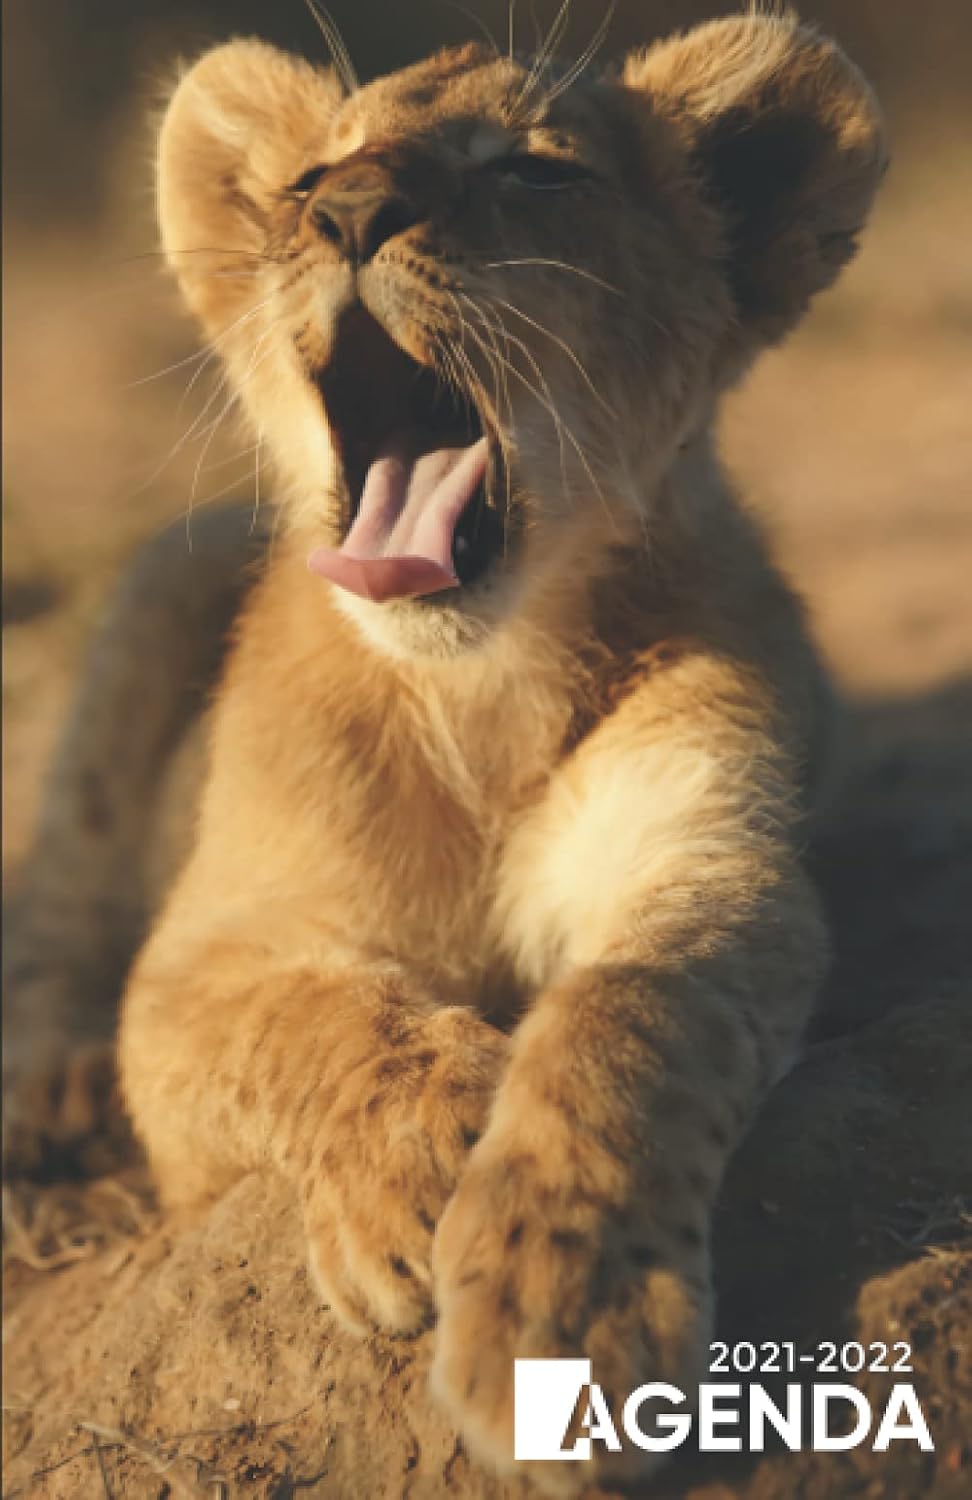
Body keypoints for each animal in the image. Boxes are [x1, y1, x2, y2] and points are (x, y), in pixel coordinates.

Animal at [6, 12, 885, 1494]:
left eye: (535, 167)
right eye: (311, 176)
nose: (349, 212)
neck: (484, 689)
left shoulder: (709, 864)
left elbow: (626, 1023)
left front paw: (561, 1317)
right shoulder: (200, 958)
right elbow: (315, 1019)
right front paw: (419, 1164)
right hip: (158, 587)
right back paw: (47, 1082)